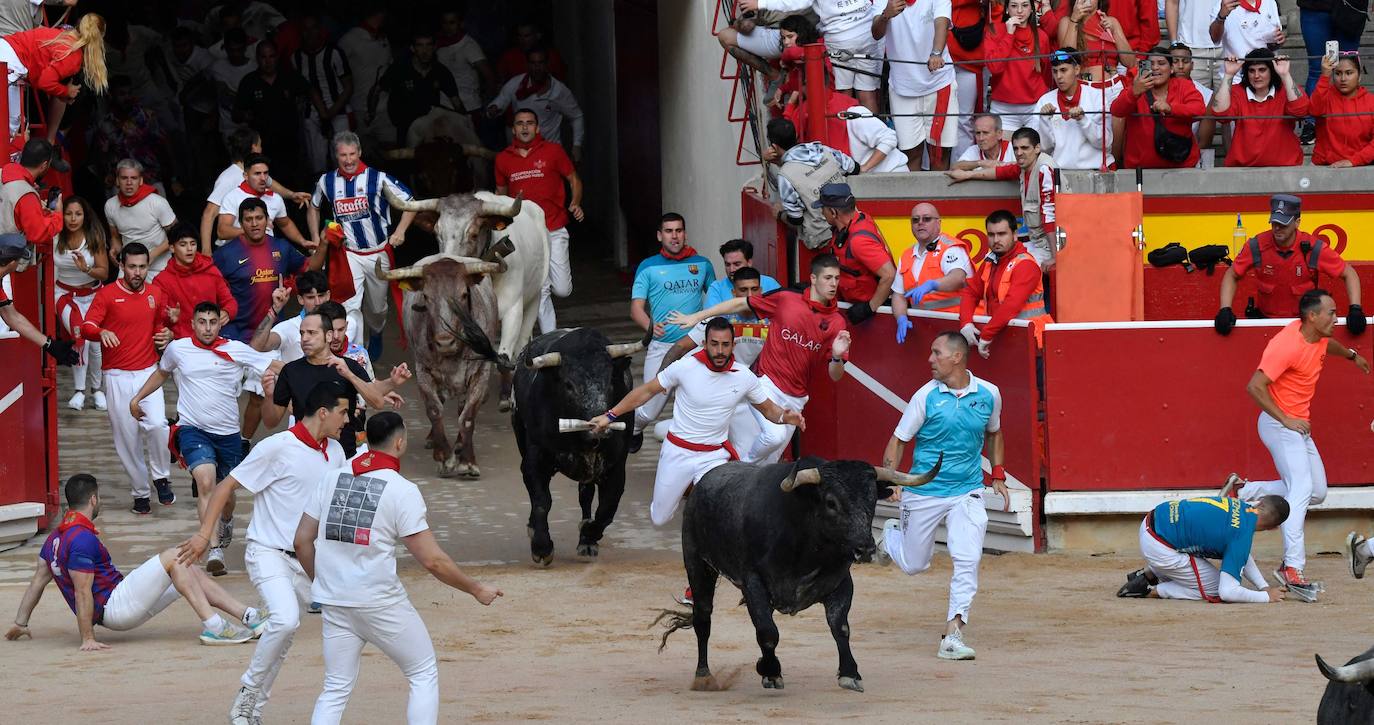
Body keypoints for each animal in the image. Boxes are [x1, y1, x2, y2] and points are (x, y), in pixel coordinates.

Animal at [513, 326, 645, 565]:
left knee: (586, 494)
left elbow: (606, 510)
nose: (599, 429)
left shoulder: (616, 467)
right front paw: (541, 547)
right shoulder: (533, 460)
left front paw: (588, 536)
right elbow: (541, 501)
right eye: (568, 384)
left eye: (610, 381)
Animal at [659, 455, 939, 694]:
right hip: (698, 564)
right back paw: (704, 676)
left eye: (871, 500)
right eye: (831, 502)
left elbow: (840, 627)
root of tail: (701, 485)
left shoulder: (840, 582)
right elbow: (767, 631)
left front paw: (850, 674)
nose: (866, 548)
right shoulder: (753, 582)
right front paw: (771, 671)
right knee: (703, 619)